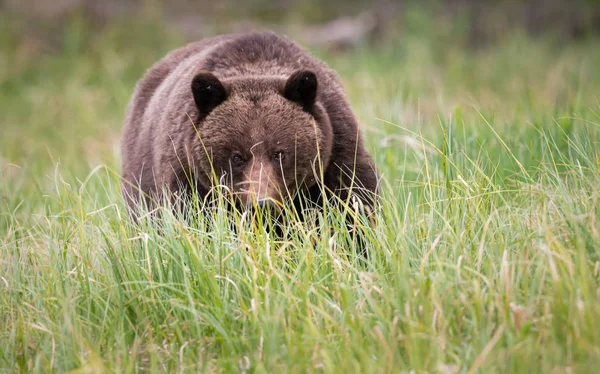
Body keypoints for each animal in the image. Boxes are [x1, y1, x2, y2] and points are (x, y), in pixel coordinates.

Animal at [119, 31, 378, 222]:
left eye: (279, 153)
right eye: (237, 156)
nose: (261, 203)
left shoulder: (336, 152)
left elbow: (353, 207)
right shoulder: (187, 176)